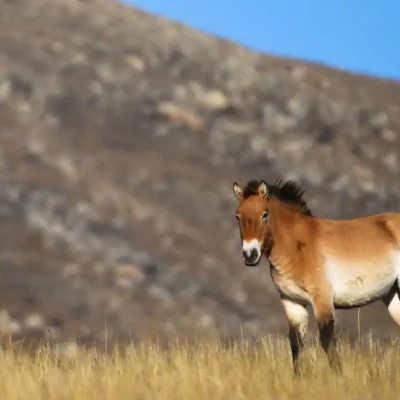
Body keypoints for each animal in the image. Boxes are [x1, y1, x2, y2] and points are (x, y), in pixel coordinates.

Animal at [233, 177, 400, 374]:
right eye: (238, 216)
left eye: (264, 214)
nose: (249, 255)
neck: (297, 246)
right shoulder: (292, 302)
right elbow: (296, 344)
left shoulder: (322, 300)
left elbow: (327, 341)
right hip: (393, 295)